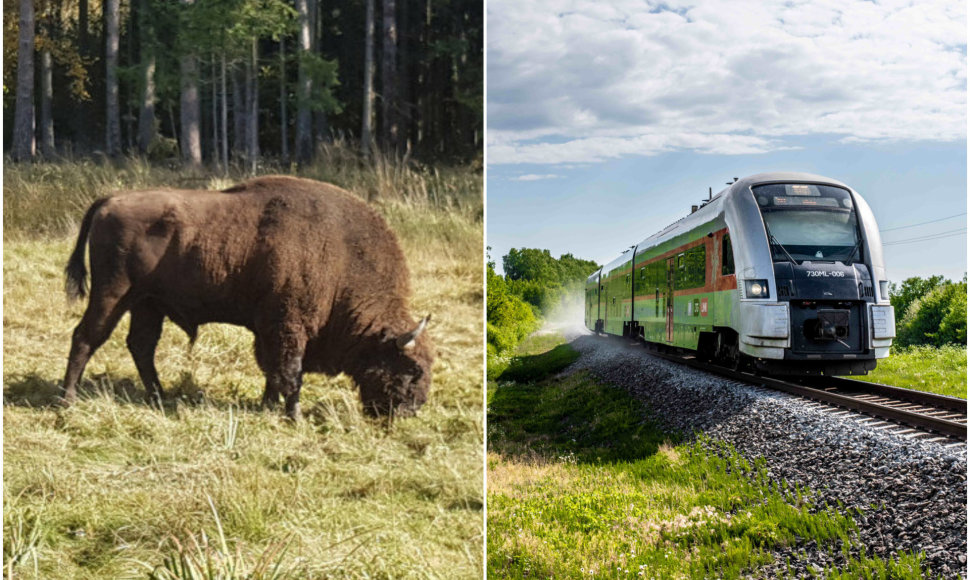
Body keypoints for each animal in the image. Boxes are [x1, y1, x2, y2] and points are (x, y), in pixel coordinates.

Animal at [62, 174, 432, 420]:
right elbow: (290, 372)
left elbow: (272, 370)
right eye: (412, 368)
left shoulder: (269, 328)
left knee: (141, 345)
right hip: (113, 294)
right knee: (86, 337)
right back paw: (67, 400)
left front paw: (268, 405)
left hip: (148, 304)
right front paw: (295, 416)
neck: (342, 254)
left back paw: (159, 396)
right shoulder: (289, 326)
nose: (413, 409)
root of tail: (110, 200)